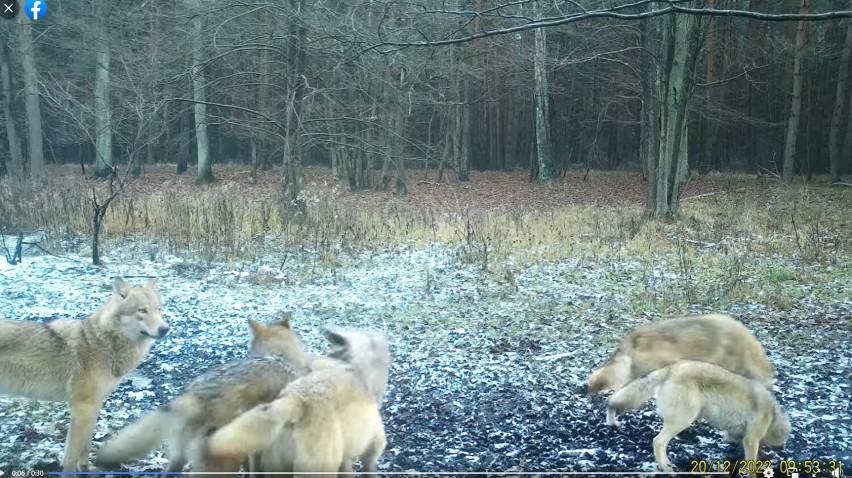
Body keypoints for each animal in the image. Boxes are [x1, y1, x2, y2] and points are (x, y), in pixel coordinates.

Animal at [0, 278, 171, 472]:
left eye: (159, 309)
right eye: (142, 310)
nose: (165, 329)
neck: (104, 343)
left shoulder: (94, 405)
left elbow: (86, 445)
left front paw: (86, 468)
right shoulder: (81, 408)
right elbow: (71, 456)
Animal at [608, 360, 788, 476]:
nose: (782, 448)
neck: (772, 414)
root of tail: (672, 368)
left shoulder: (736, 434)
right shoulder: (751, 439)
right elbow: (751, 463)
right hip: (683, 420)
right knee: (658, 441)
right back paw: (666, 468)